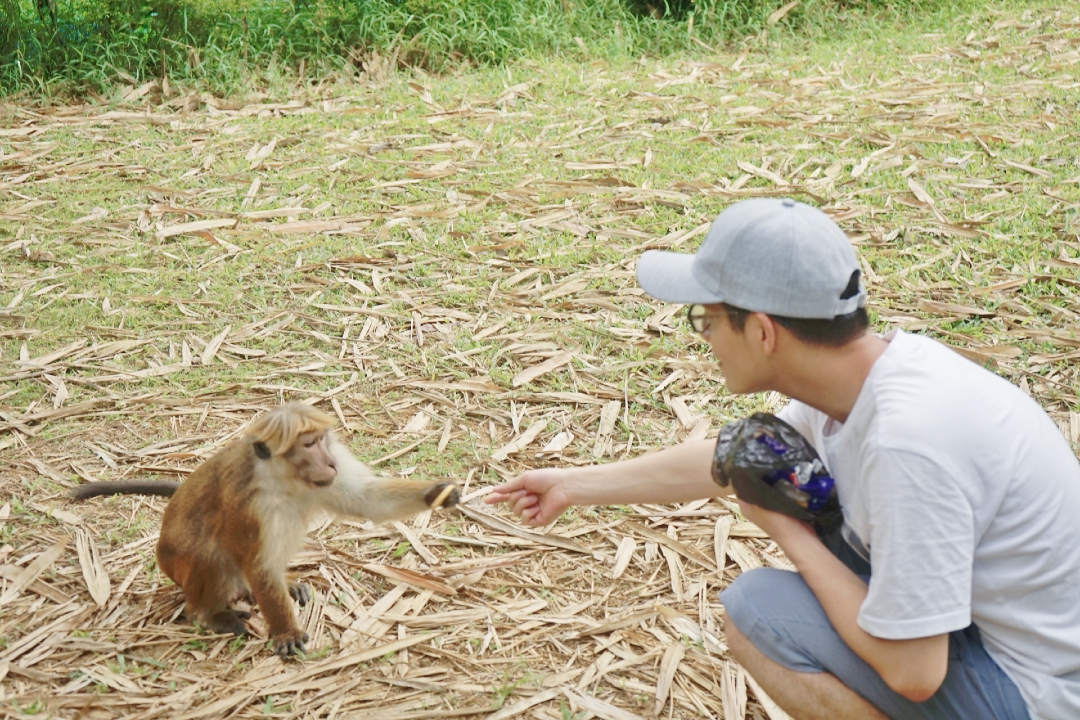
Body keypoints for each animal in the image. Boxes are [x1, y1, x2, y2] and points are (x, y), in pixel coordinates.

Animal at [70, 403, 460, 660]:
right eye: (308, 445)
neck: (284, 481)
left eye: (322, 440)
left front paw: (436, 493)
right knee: (211, 556)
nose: (330, 462)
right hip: (178, 568)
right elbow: (257, 564)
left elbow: (368, 501)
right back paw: (210, 612)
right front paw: (285, 631)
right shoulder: (253, 509)